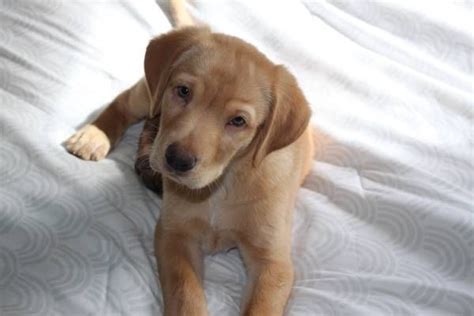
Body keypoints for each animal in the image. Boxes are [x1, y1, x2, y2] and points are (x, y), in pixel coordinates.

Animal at [64, 25, 314, 314]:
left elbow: (260, 308)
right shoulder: (175, 234)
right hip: (149, 93)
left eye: (238, 121)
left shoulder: (272, 261)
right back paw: (93, 136)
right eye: (183, 91)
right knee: (124, 102)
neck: (225, 182)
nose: (177, 160)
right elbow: (185, 292)